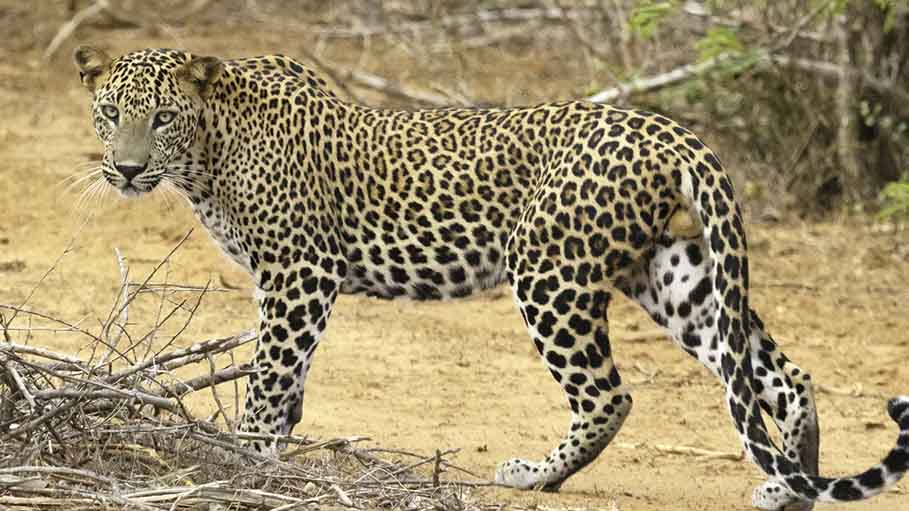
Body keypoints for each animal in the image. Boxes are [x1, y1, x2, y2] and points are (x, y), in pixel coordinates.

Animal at [73, 46, 909, 510]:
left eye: (161, 118)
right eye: (109, 112)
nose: (126, 168)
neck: (208, 152)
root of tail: (667, 128)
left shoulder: (300, 271)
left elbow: (271, 373)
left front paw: (245, 457)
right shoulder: (289, 280)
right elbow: (289, 379)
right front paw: (271, 449)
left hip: (550, 271)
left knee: (609, 394)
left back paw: (536, 476)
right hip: (672, 273)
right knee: (779, 372)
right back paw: (789, 486)